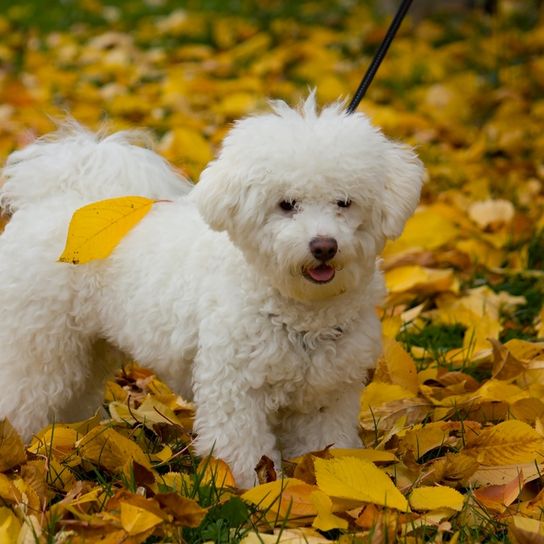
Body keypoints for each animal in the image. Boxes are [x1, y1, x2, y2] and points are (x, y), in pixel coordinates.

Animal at [0, 95, 422, 486]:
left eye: (344, 202)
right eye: (286, 204)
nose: (324, 246)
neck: (300, 308)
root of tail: (62, 197)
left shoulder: (327, 395)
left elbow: (325, 448)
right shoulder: (235, 388)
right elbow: (243, 451)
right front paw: (253, 492)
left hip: (85, 349)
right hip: (38, 344)